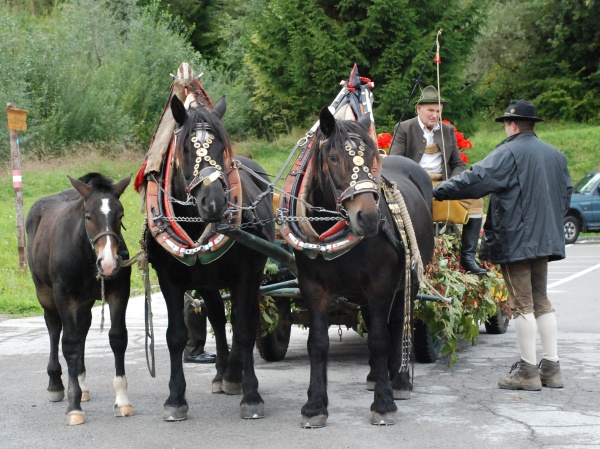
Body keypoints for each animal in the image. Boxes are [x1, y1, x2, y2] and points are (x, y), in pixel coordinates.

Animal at [26, 173, 132, 426]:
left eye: (120, 215)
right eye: (88, 216)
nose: (109, 263)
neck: (86, 255)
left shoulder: (119, 292)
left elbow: (117, 338)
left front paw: (122, 401)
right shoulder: (64, 296)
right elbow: (70, 343)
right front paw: (73, 408)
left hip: (84, 300)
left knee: (82, 328)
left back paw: (82, 385)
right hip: (44, 291)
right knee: (54, 327)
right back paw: (56, 384)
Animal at [146, 94, 274, 420]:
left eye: (221, 147)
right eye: (185, 149)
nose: (213, 202)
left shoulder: (245, 275)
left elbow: (244, 329)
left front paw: (251, 396)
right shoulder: (169, 279)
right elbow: (176, 336)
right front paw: (175, 399)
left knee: (243, 318)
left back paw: (234, 376)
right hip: (207, 281)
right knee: (216, 317)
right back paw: (222, 374)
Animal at [292, 107, 434, 426]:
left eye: (371, 157)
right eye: (333, 157)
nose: (367, 218)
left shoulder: (381, 285)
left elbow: (380, 339)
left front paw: (384, 403)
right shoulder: (313, 287)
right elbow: (317, 344)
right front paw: (315, 405)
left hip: (409, 280)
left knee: (400, 322)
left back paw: (400, 380)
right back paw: (375, 375)